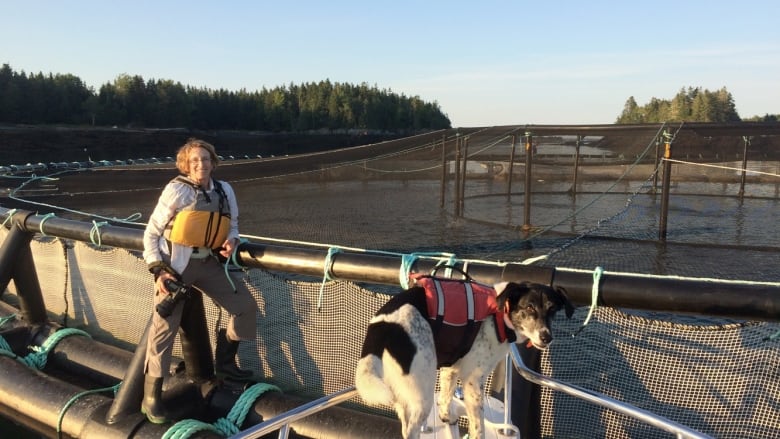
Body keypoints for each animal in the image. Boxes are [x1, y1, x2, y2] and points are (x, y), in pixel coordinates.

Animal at [354, 280, 572, 438]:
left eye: (553, 310)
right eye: (529, 308)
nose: (547, 337)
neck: (499, 315)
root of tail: (381, 326)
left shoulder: (450, 368)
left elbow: (445, 396)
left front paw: (446, 416)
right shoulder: (473, 382)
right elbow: (478, 426)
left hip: (402, 390)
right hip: (422, 393)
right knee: (410, 430)